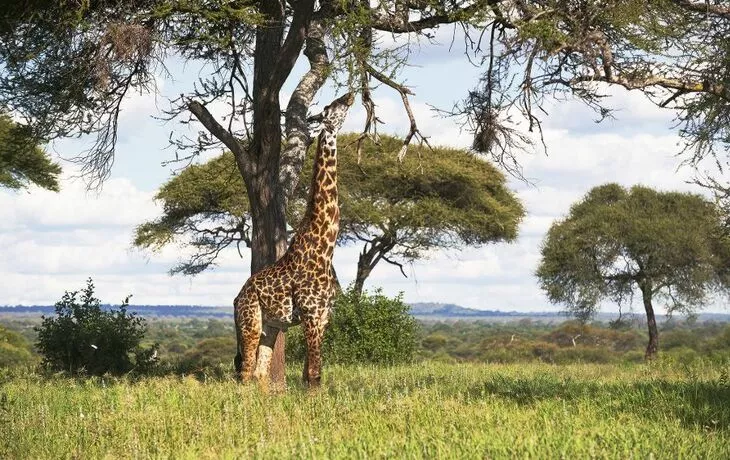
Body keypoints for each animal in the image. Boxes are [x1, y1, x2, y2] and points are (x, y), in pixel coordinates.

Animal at [233, 92, 354, 388]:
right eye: (332, 106)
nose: (349, 95)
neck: (326, 246)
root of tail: (237, 297)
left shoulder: (324, 315)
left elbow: (311, 374)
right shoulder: (311, 313)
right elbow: (314, 374)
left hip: (271, 326)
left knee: (259, 373)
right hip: (250, 323)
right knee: (245, 373)